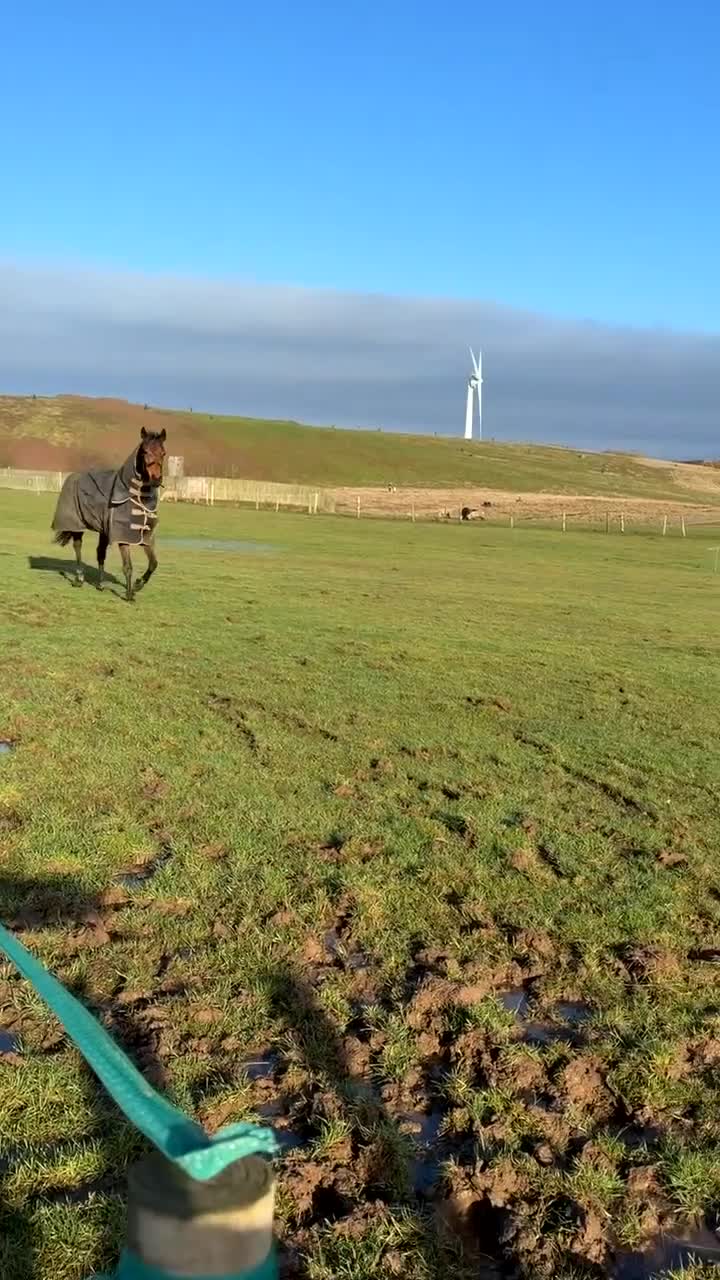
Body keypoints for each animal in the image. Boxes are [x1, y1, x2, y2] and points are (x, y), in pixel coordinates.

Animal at [51, 428, 166, 603]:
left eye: (163, 453)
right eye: (145, 451)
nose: (155, 479)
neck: (136, 498)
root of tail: (73, 477)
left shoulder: (144, 537)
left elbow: (153, 563)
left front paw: (138, 585)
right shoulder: (123, 538)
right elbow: (128, 566)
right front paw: (129, 594)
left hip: (103, 530)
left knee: (100, 553)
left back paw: (100, 584)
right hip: (78, 526)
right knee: (78, 547)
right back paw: (79, 579)